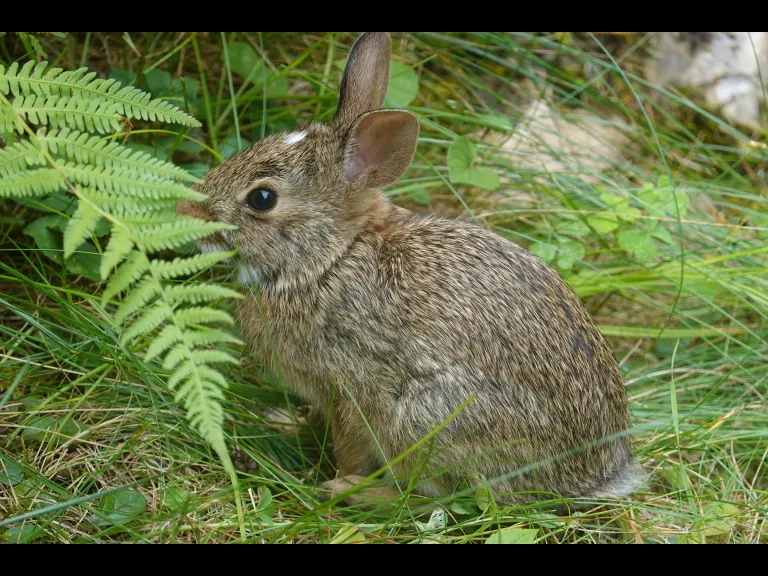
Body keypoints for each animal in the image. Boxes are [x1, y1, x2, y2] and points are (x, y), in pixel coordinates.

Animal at [177, 32, 645, 508]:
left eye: (262, 199)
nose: (184, 207)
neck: (329, 261)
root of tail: (594, 476)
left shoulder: (350, 390)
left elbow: (349, 446)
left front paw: (336, 482)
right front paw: (285, 422)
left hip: (427, 418)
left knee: (440, 498)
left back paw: (360, 494)